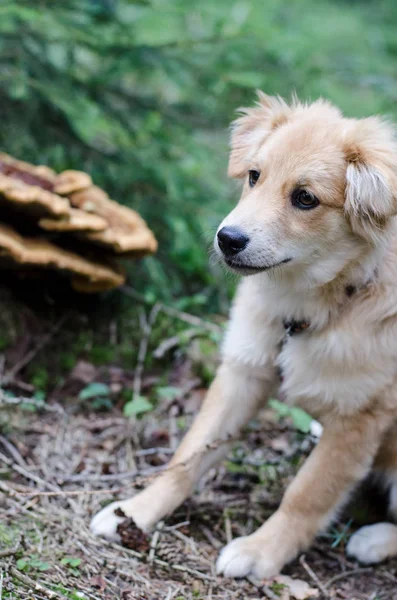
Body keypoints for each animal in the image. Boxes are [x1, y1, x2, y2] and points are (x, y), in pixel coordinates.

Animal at [92, 96, 397, 580]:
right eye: (254, 176)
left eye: (305, 198)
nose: (227, 239)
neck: (314, 305)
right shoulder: (244, 371)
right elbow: (188, 455)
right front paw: (135, 511)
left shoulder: (359, 419)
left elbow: (307, 494)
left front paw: (260, 551)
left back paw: (373, 539)